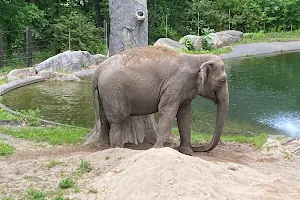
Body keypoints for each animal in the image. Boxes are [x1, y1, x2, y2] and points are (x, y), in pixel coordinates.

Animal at [92, 45, 229, 155]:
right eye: (222, 80)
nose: (197, 148)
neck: (196, 57)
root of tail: (97, 71)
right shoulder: (175, 84)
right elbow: (167, 111)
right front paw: (157, 148)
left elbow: (185, 115)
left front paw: (187, 152)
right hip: (114, 91)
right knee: (117, 120)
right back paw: (118, 148)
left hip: (105, 94)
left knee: (104, 119)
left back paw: (103, 147)